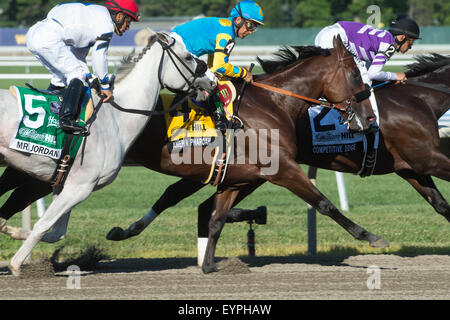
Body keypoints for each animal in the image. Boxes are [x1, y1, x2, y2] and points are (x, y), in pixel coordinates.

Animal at [1, 37, 378, 272]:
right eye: (355, 73)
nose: (369, 119)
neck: (272, 105)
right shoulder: (282, 169)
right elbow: (323, 203)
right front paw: (369, 236)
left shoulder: (231, 176)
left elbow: (209, 215)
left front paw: (208, 263)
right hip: (48, 173)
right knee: (19, 201)